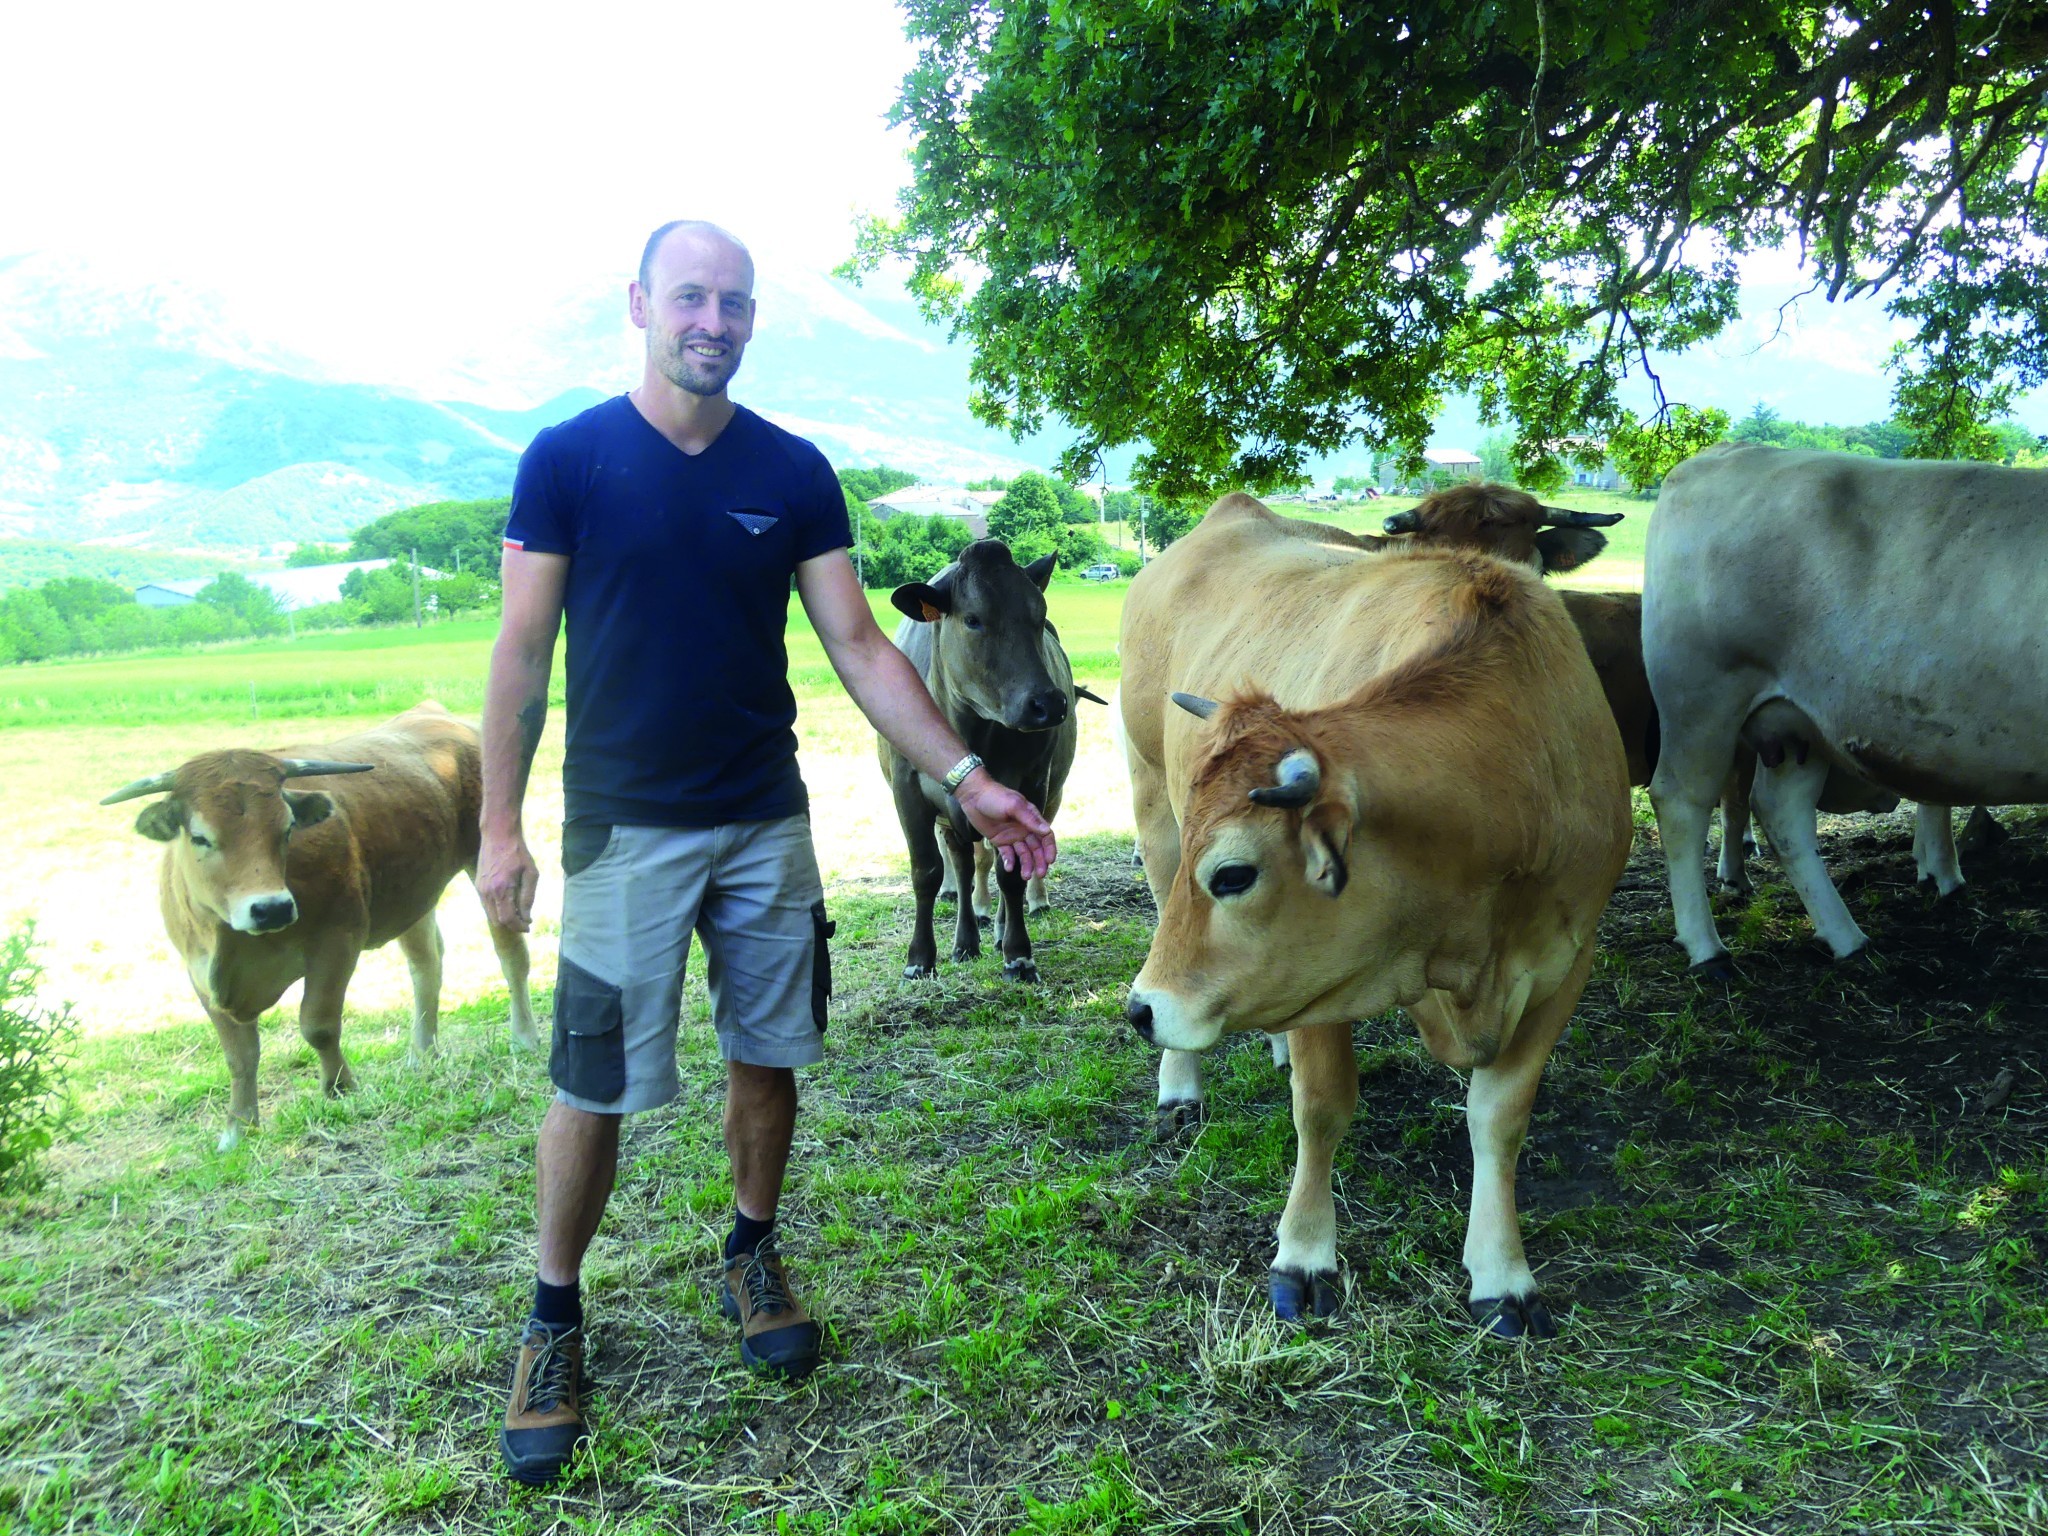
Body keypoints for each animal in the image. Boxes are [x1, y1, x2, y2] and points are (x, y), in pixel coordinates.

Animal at [104, 704, 540, 1146]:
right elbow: (239, 1055)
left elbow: (318, 1025)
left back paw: (523, 1037)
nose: (271, 909)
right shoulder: (198, 973)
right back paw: (422, 1054)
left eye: (287, 828)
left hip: (486, 865)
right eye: (200, 837)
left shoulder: (337, 941)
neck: (237, 945)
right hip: (414, 893)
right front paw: (238, 1129)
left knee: (510, 956)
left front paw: (339, 1089)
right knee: (426, 965)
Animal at [1122, 499, 1630, 1343]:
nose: (1139, 1009)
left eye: (1233, 874)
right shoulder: (1323, 980)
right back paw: (1179, 1089)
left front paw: (1503, 1274)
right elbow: (1323, 1108)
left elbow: (1499, 1116)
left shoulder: (1566, 960)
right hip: (1148, 800)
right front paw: (1304, 1257)